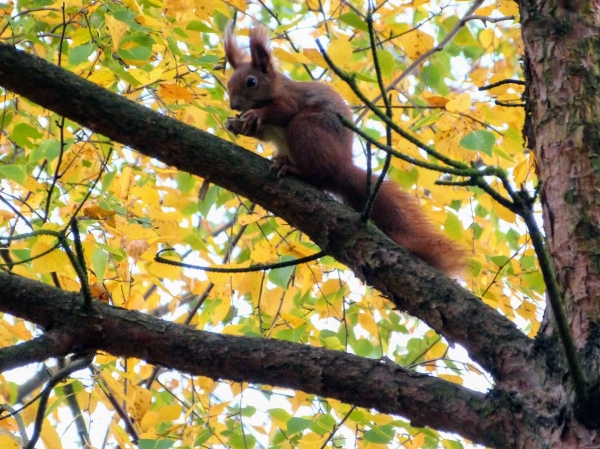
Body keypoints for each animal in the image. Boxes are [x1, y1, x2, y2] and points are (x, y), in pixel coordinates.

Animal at [224, 27, 464, 276]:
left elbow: (281, 110)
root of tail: (342, 167)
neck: (274, 89)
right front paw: (236, 124)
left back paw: (291, 168)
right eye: (229, 81)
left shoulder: (291, 99)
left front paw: (254, 115)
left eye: (251, 82)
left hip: (306, 129)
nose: (233, 105)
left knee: (316, 173)